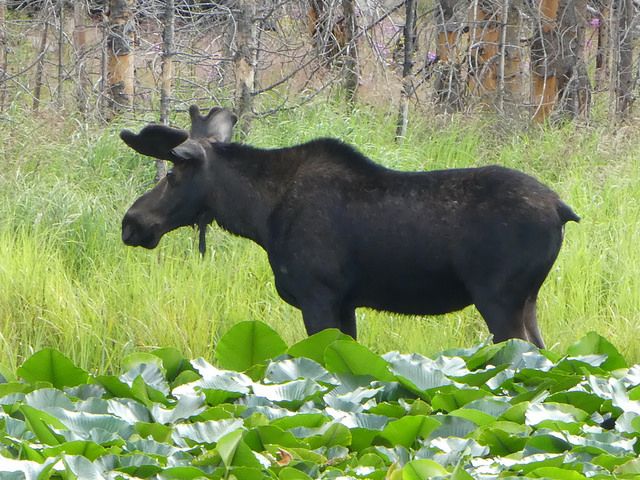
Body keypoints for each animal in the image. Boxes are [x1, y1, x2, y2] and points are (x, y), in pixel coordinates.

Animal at [120, 105, 580, 346]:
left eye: (172, 174)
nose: (132, 222)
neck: (260, 218)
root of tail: (562, 209)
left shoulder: (318, 295)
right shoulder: (345, 303)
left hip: (499, 298)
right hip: (528, 299)